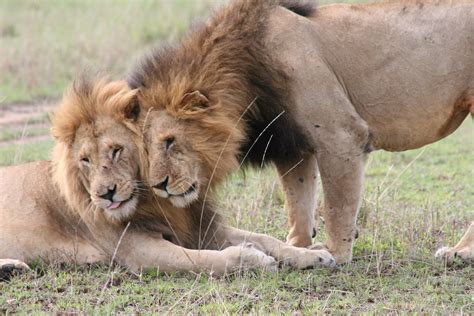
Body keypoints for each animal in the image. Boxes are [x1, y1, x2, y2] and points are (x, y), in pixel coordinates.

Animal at [0, 78, 336, 278]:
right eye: (85, 160)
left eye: (116, 151)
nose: (105, 194)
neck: (152, 199)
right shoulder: (137, 251)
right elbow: (204, 259)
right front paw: (254, 259)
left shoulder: (197, 226)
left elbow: (267, 238)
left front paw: (313, 255)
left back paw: (12, 268)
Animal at [127, 0, 474, 264]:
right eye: (143, 151)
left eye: (170, 142)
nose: (159, 186)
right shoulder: (290, 144)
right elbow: (298, 202)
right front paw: (298, 248)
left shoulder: (340, 135)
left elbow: (336, 205)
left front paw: (335, 253)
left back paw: (459, 252)